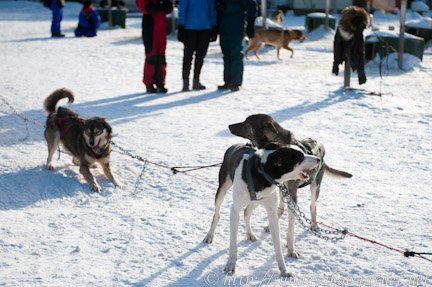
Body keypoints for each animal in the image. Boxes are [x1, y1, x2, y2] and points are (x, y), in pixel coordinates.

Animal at [208, 144, 318, 276]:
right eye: (300, 157)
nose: (318, 159)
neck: (262, 173)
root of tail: (235, 145)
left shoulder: (272, 213)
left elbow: (278, 246)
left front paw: (284, 270)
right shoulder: (234, 210)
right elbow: (233, 243)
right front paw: (230, 264)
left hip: (255, 202)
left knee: (246, 213)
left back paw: (250, 234)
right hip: (222, 189)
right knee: (217, 215)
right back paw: (209, 236)